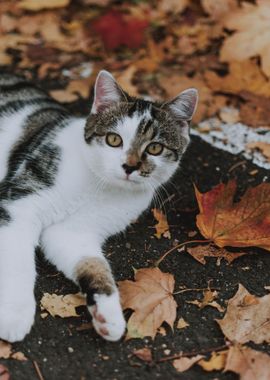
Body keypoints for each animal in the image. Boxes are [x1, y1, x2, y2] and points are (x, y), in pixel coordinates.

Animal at [0, 70, 196, 342]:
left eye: (155, 148)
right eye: (114, 140)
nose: (129, 166)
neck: (99, 186)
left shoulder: (74, 233)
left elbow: (95, 266)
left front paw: (109, 316)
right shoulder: (19, 204)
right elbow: (18, 262)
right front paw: (14, 315)